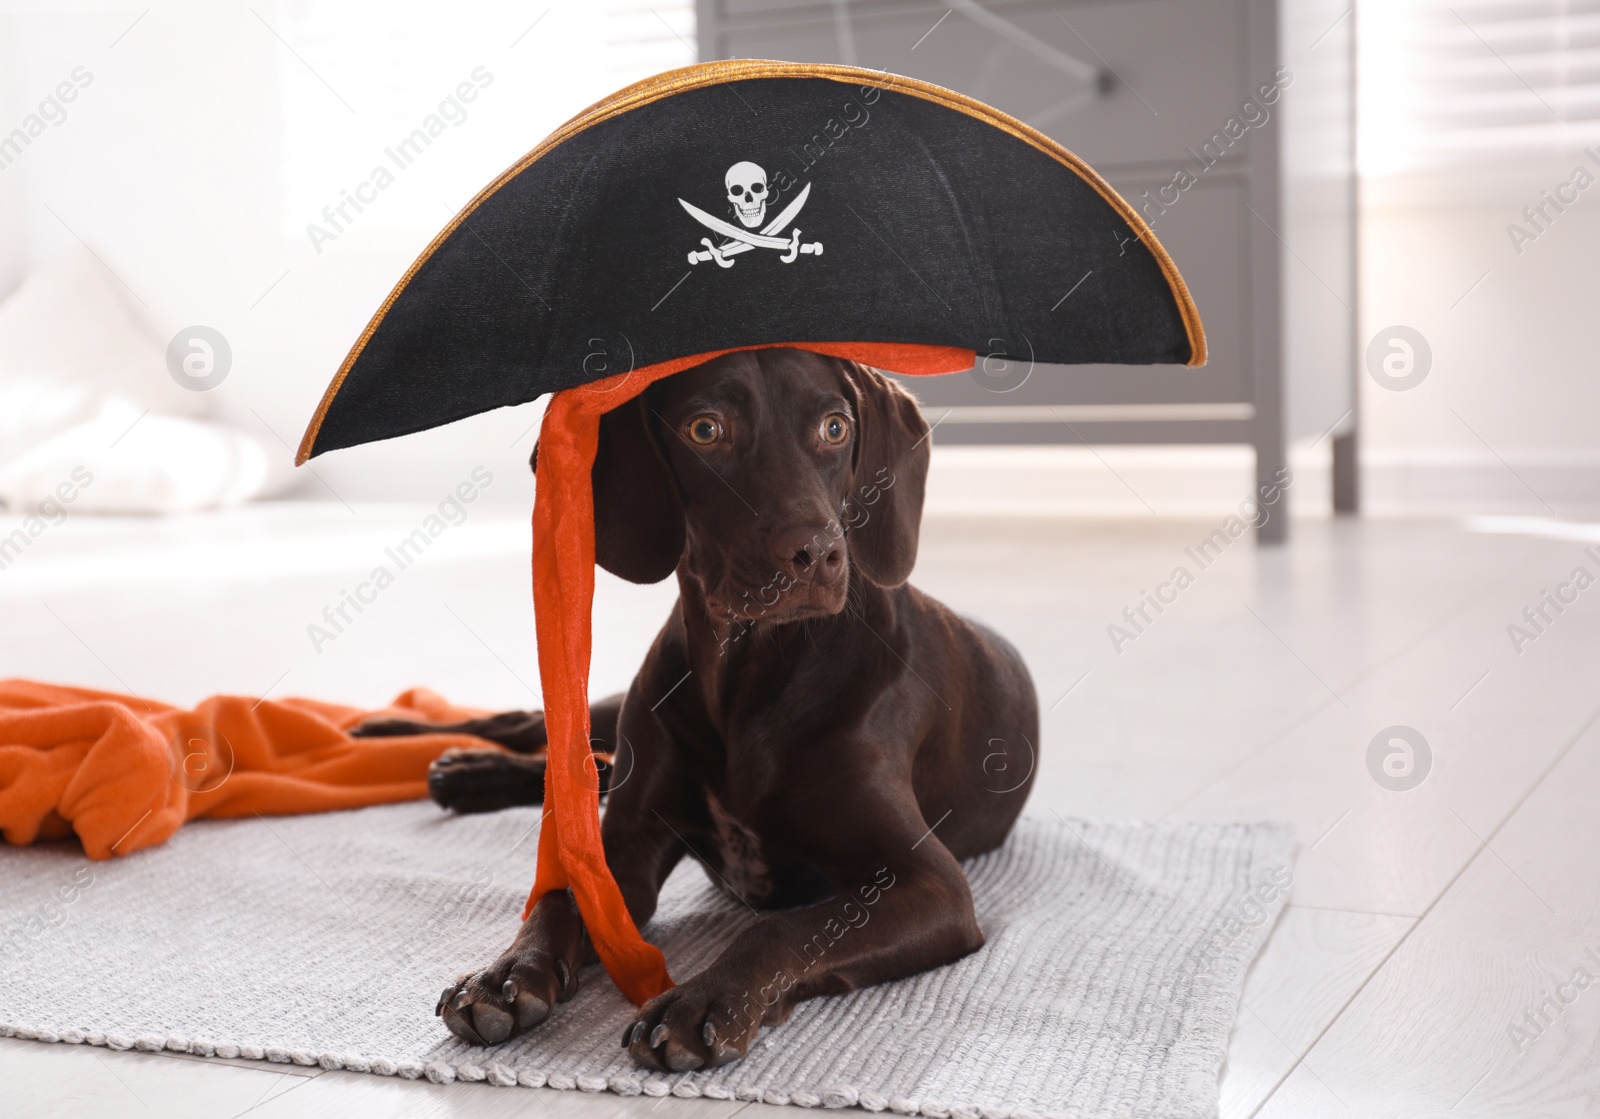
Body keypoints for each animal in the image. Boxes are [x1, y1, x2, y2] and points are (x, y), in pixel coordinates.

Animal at [353, 347, 1036, 1069]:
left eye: (835, 428)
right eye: (705, 430)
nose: (818, 554)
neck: (751, 671)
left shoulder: (930, 882)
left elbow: (782, 929)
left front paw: (702, 1001)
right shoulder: (625, 846)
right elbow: (560, 897)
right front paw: (506, 973)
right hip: (617, 713)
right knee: (543, 736)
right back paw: (406, 739)